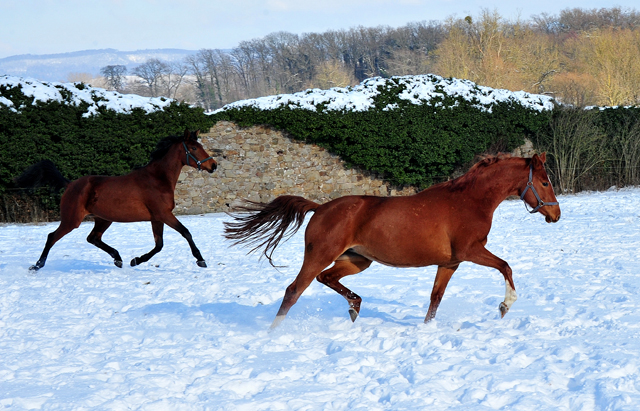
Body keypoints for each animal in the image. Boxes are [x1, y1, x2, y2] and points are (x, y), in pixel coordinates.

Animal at [16, 129, 218, 270]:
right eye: (194, 148)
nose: (213, 165)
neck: (157, 179)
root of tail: (70, 184)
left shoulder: (157, 218)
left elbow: (159, 245)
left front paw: (136, 260)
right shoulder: (164, 214)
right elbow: (185, 232)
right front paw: (201, 260)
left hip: (103, 219)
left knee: (93, 238)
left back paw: (118, 259)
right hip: (72, 220)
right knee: (52, 237)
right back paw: (37, 265)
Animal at [225, 153, 560, 330]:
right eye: (544, 182)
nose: (556, 214)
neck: (469, 201)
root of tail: (319, 208)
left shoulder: (450, 262)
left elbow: (435, 298)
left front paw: (426, 329)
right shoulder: (470, 251)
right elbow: (505, 266)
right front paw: (505, 305)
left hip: (357, 260)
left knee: (327, 279)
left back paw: (355, 307)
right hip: (320, 255)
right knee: (294, 290)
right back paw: (273, 333)